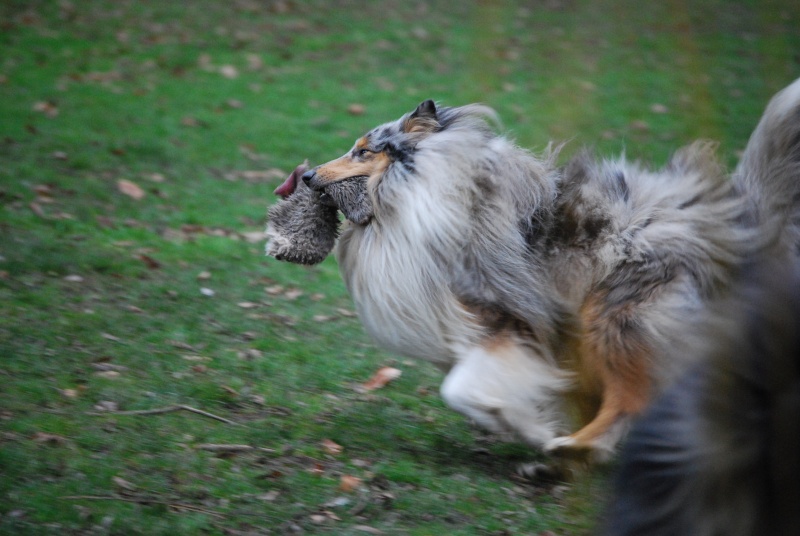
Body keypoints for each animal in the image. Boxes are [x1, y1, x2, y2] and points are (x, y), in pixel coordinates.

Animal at [266, 77, 800, 462]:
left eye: (362, 151)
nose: (305, 175)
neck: (415, 195)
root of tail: (731, 224)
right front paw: (523, 420)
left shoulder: (507, 317)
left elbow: (461, 388)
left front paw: (531, 429)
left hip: (616, 320)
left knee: (634, 398)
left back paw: (577, 447)